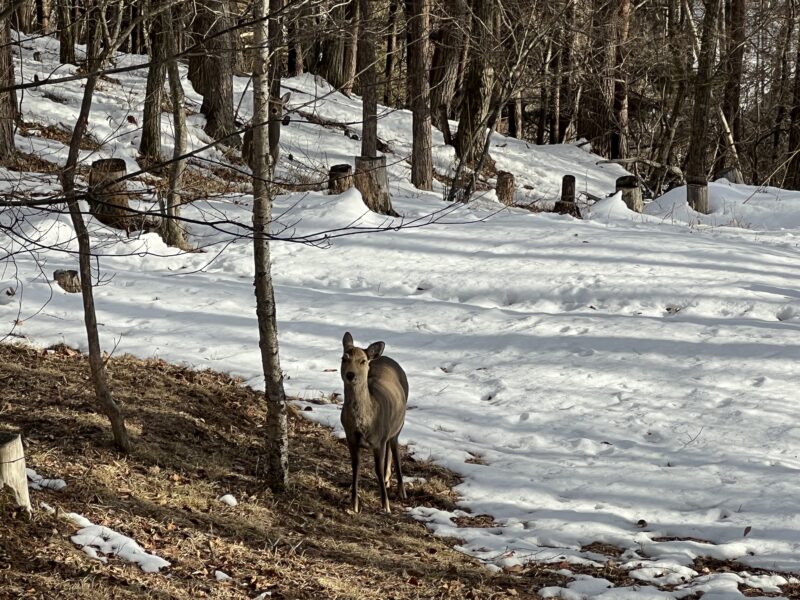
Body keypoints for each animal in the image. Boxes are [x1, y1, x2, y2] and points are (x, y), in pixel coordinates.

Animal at [340, 330, 410, 512]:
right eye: (344, 358)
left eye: (362, 361)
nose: (350, 374)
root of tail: (386, 357)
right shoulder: (350, 438)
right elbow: (355, 468)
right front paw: (354, 503)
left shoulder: (379, 440)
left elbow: (377, 469)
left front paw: (386, 505)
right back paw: (387, 479)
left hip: (398, 425)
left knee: (396, 450)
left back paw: (401, 490)